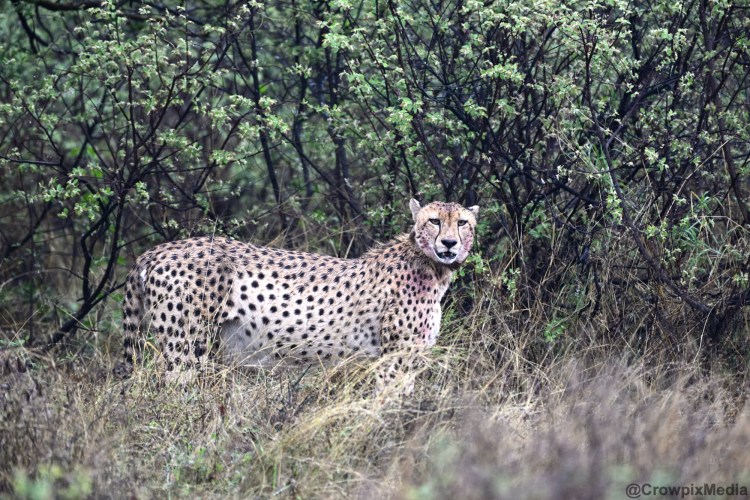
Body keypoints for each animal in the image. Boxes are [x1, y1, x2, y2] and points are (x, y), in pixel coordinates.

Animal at [121, 199, 479, 392]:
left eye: (463, 222)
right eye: (434, 221)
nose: (449, 243)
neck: (429, 264)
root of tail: (155, 250)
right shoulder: (395, 360)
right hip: (186, 347)